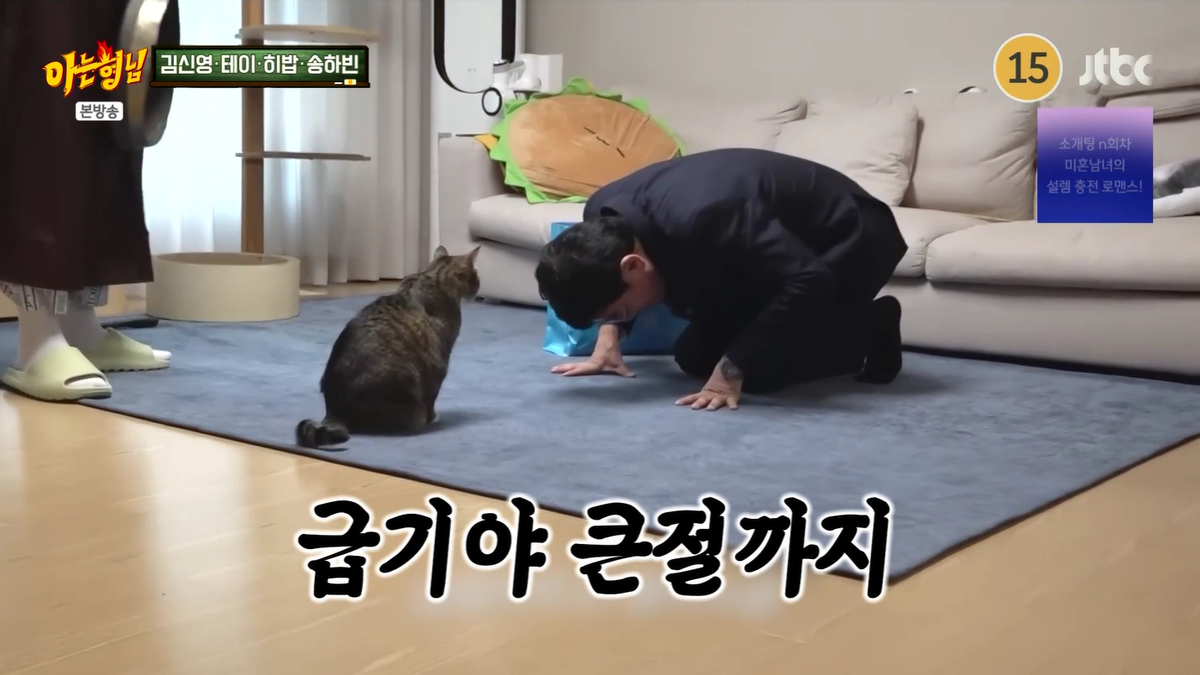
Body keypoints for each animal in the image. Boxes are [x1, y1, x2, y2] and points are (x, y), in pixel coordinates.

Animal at [296, 245, 481, 449]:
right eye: (476, 276)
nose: (478, 287)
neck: (434, 276)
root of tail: (334, 411)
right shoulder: (438, 363)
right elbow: (433, 395)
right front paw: (433, 417)